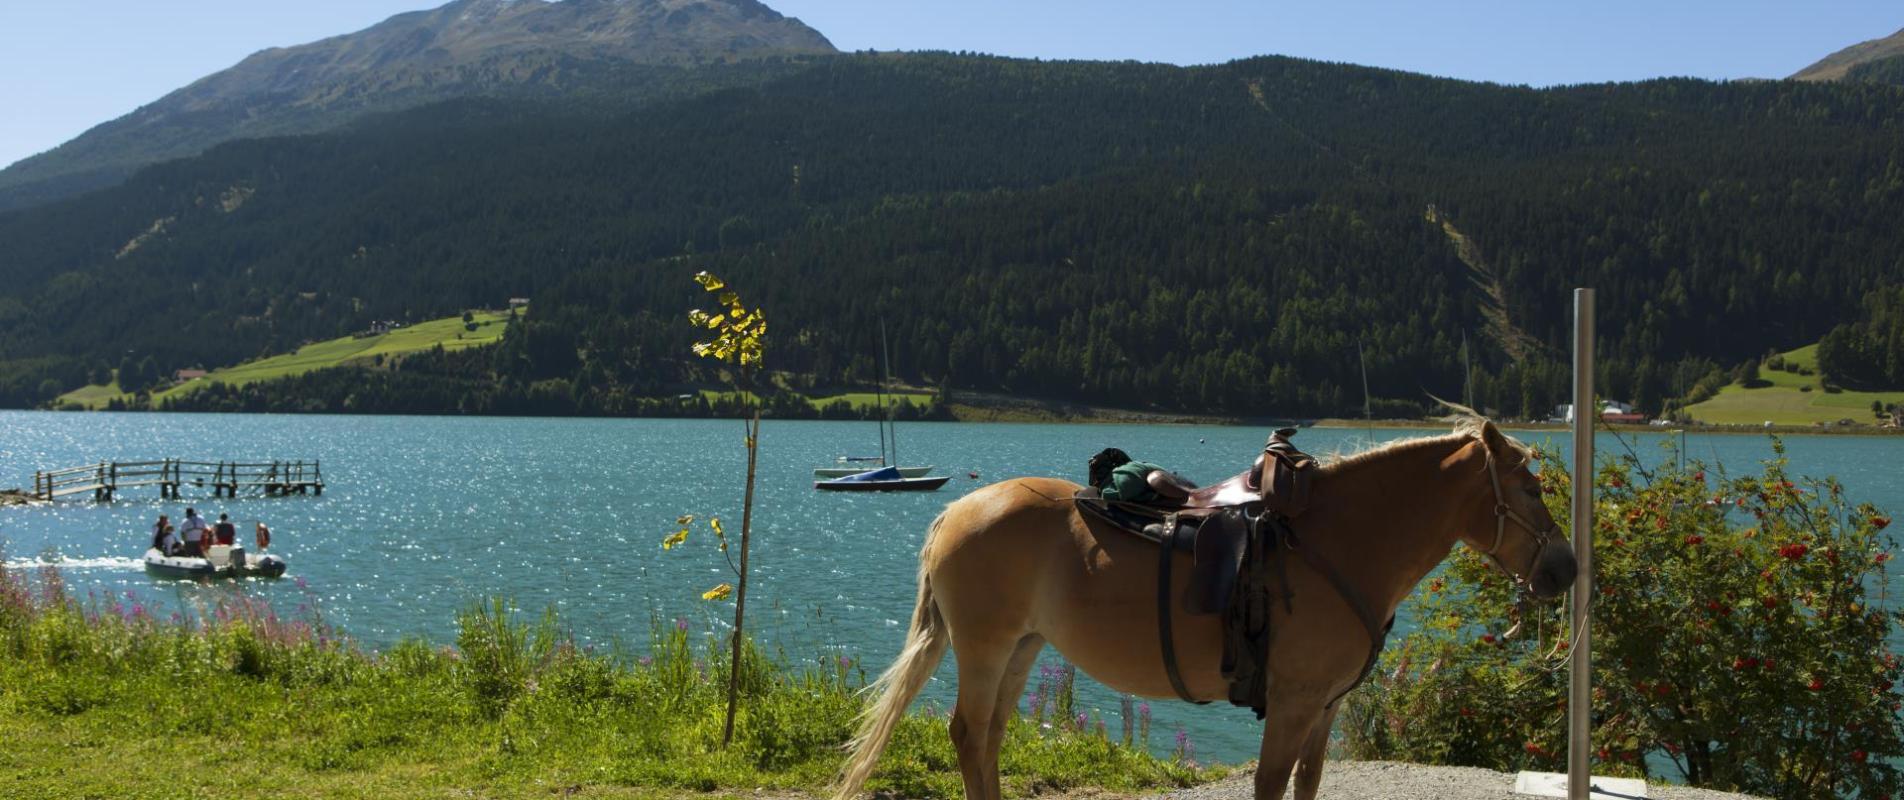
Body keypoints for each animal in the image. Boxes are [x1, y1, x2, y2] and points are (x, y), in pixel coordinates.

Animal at [833, 415, 1576, 800]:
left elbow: (1306, 786)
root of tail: (958, 510)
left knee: (986, 738)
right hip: (985, 647)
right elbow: (1272, 786)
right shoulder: (1294, 705)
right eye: (1533, 487)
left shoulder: (1324, 711)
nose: (1565, 569)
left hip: (1021, 646)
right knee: (968, 734)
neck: (1339, 541)